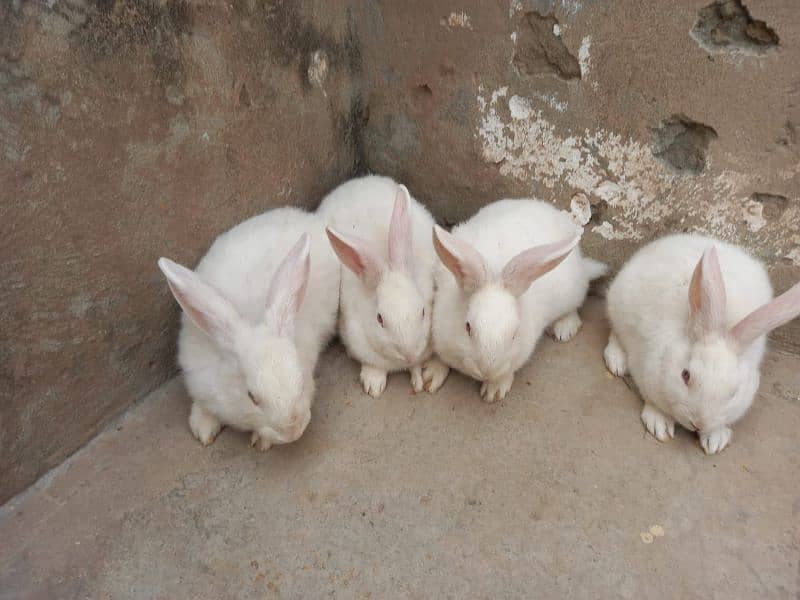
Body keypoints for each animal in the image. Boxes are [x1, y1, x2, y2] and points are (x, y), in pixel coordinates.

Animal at [158, 209, 340, 452]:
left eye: (301, 383)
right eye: (252, 397)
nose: (292, 431)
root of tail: (310, 218)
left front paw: (262, 441)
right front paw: (203, 430)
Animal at [316, 175, 446, 398]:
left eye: (422, 312)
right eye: (380, 319)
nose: (410, 354)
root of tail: (356, 181)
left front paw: (425, 377)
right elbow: (374, 366)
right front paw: (373, 385)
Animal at [432, 199, 608, 400]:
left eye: (514, 334)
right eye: (467, 327)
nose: (488, 370)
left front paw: (494, 391)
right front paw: (431, 373)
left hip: (572, 292)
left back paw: (564, 329)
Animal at [608, 234, 800, 454]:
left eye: (734, 393)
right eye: (685, 375)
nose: (698, 424)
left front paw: (715, 440)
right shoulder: (643, 366)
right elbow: (652, 402)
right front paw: (660, 424)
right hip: (618, 307)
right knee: (615, 333)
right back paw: (617, 363)